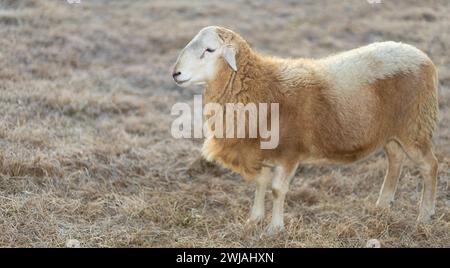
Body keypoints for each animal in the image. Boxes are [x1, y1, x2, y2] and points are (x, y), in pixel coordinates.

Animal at [172, 25, 440, 234]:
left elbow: (277, 190)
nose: (176, 73)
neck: (261, 85)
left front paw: (274, 228)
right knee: (395, 159)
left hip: (414, 126)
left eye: (209, 50)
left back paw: (424, 216)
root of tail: (424, 58)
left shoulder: (289, 152)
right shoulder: (258, 149)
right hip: (391, 131)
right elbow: (260, 183)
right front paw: (254, 219)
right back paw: (383, 205)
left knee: (429, 166)